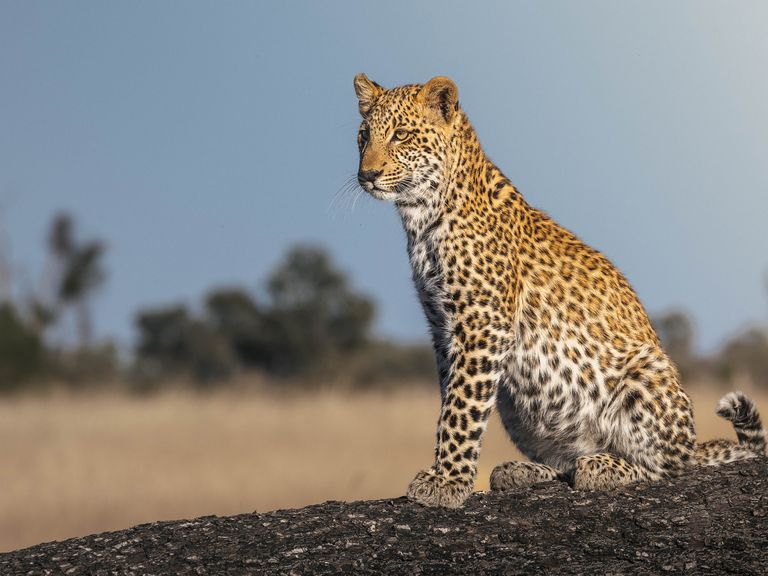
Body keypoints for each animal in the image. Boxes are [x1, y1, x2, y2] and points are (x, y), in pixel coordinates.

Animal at [352, 73, 767, 508]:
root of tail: (692, 442)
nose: (367, 175)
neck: (421, 217)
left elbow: (462, 409)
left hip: (644, 375)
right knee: (566, 460)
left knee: (666, 467)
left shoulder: (483, 326)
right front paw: (448, 473)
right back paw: (521, 471)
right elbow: (453, 398)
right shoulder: (443, 329)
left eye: (401, 135)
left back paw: (602, 466)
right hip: (516, 406)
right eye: (363, 136)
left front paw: (446, 481)